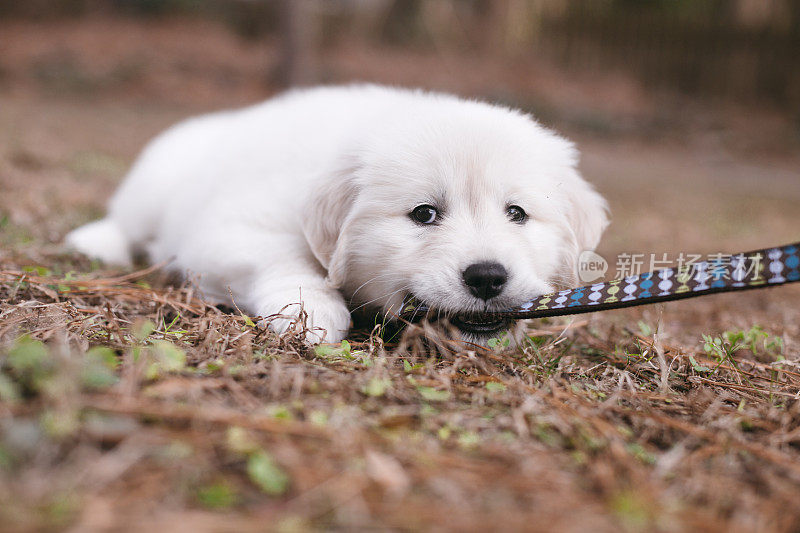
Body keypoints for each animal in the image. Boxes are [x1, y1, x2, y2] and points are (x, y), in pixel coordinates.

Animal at [67, 85, 608, 342]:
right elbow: (287, 259)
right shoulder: (228, 228)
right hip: (156, 181)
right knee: (126, 220)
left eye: (517, 213)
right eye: (424, 215)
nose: (488, 277)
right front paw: (312, 313)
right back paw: (96, 243)